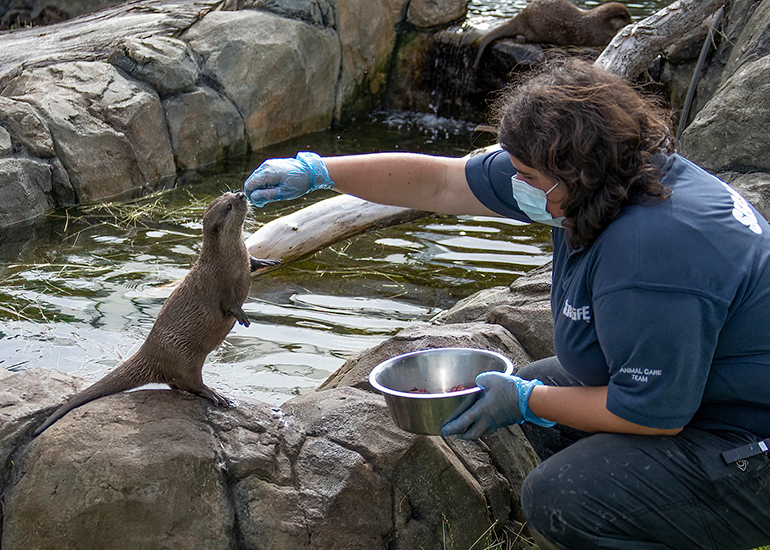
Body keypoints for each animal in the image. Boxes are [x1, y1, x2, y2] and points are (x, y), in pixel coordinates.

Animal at [33, 191, 280, 436]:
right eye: (229, 205)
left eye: (228, 193)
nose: (241, 194)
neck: (229, 259)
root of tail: (148, 351)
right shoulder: (218, 285)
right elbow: (229, 304)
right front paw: (242, 316)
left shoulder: (244, 261)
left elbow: (254, 263)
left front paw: (269, 260)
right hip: (184, 357)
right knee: (189, 382)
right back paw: (213, 393)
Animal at [474, 0, 632, 67]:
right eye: (624, 17)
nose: (632, 21)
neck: (598, 23)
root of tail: (524, 14)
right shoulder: (600, 35)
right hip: (536, 28)